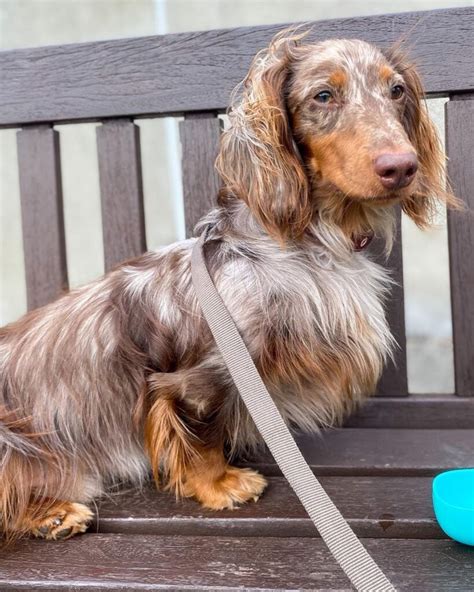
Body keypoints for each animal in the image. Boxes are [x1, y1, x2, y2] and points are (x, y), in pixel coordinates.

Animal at [0, 31, 460, 540]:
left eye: (396, 90)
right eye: (323, 96)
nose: (401, 167)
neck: (307, 241)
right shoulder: (203, 377)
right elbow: (202, 437)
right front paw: (219, 484)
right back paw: (53, 513)